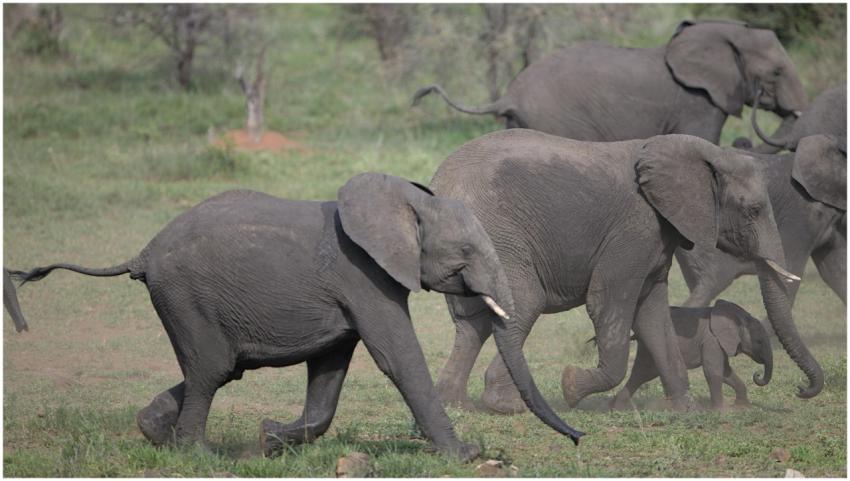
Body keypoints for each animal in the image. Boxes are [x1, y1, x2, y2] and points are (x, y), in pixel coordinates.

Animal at [9, 173, 583, 461]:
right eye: (465, 252)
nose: (578, 438)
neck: (404, 202)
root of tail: (142, 253)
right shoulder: (364, 276)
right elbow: (396, 357)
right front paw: (464, 455)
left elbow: (331, 366)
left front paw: (270, 439)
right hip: (185, 296)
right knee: (211, 370)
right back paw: (198, 458)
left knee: (217, 368)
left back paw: (154, 435)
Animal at [610, 299, 772, 411]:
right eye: (759, 341)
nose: (757, 374)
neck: (739, 316)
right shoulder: (711, 340)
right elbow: (713, 371)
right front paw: (720, 411)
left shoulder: (719, 342)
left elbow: (726, 372)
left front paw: (742, 407)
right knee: (643, 373)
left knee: (641, 375)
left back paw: (619, 408)